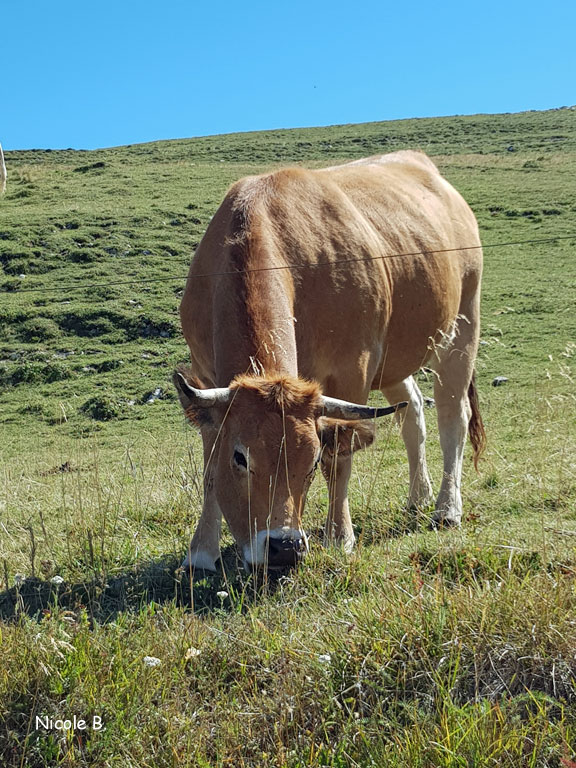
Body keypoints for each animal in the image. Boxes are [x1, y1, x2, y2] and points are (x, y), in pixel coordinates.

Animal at [173, 150, 484, 568]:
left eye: (312, 461)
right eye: (240, 458)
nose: (284, 546)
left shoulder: (352, 370)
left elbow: (341, 455)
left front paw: (340, 537)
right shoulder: (205, 380)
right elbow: (209, 467)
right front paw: (201, 551)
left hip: (460, 330)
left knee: (453, 417)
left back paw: (446, 508)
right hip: (393, 358)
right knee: (412, 411)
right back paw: (418, 496)